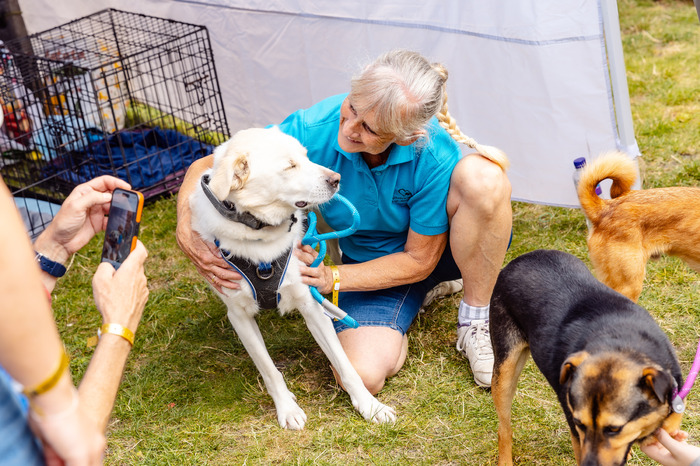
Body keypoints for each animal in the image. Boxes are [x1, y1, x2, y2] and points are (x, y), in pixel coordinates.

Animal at [189, 126, 396, 430]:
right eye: (289, 166)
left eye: (307, 156)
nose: (337, 179)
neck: (260, 235)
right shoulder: (238, 316)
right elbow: (269, 370)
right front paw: (287, 409)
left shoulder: (310, 302)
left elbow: (345, 365)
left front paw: (370, 406)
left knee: (336, 254)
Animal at [490, 249, 680, 466]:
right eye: (579, 424)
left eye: (614, 429)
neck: (622, 343)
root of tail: (520, 259)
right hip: (505, 371)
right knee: (504, 429)